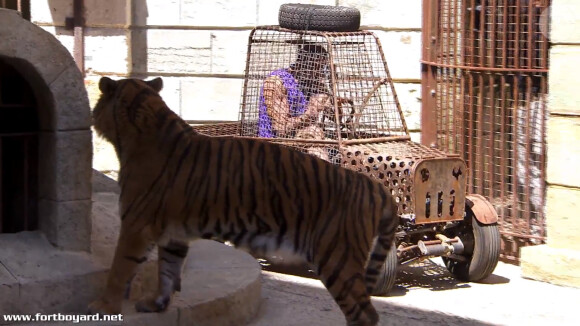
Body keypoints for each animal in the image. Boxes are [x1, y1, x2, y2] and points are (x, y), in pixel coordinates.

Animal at [88, 77, 402, 326]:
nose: (92, 115)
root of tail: (373, 185)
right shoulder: (173, 234)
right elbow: (166, 271)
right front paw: (156, 304)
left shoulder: (135, 225)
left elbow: (119, 269)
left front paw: (102, 307)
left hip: (337, 257)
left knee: (365, 314)